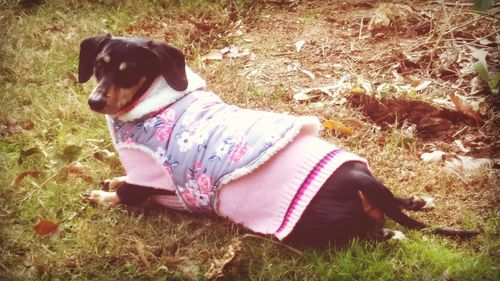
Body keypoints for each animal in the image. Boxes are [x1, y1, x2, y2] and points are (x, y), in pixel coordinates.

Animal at [78, 35, 476, 247]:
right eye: (99, 65)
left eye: (130, 72)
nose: (94, 102)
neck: (154, 103)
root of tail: (357, 180)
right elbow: (124, 182)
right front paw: (109, 181)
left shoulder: (152, 176)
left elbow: (128, 192)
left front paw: (102, 195)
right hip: (367, 180)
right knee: (392, 199)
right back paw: (417, 201)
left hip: (311, 227)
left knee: (368, 231)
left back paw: (390, 235)